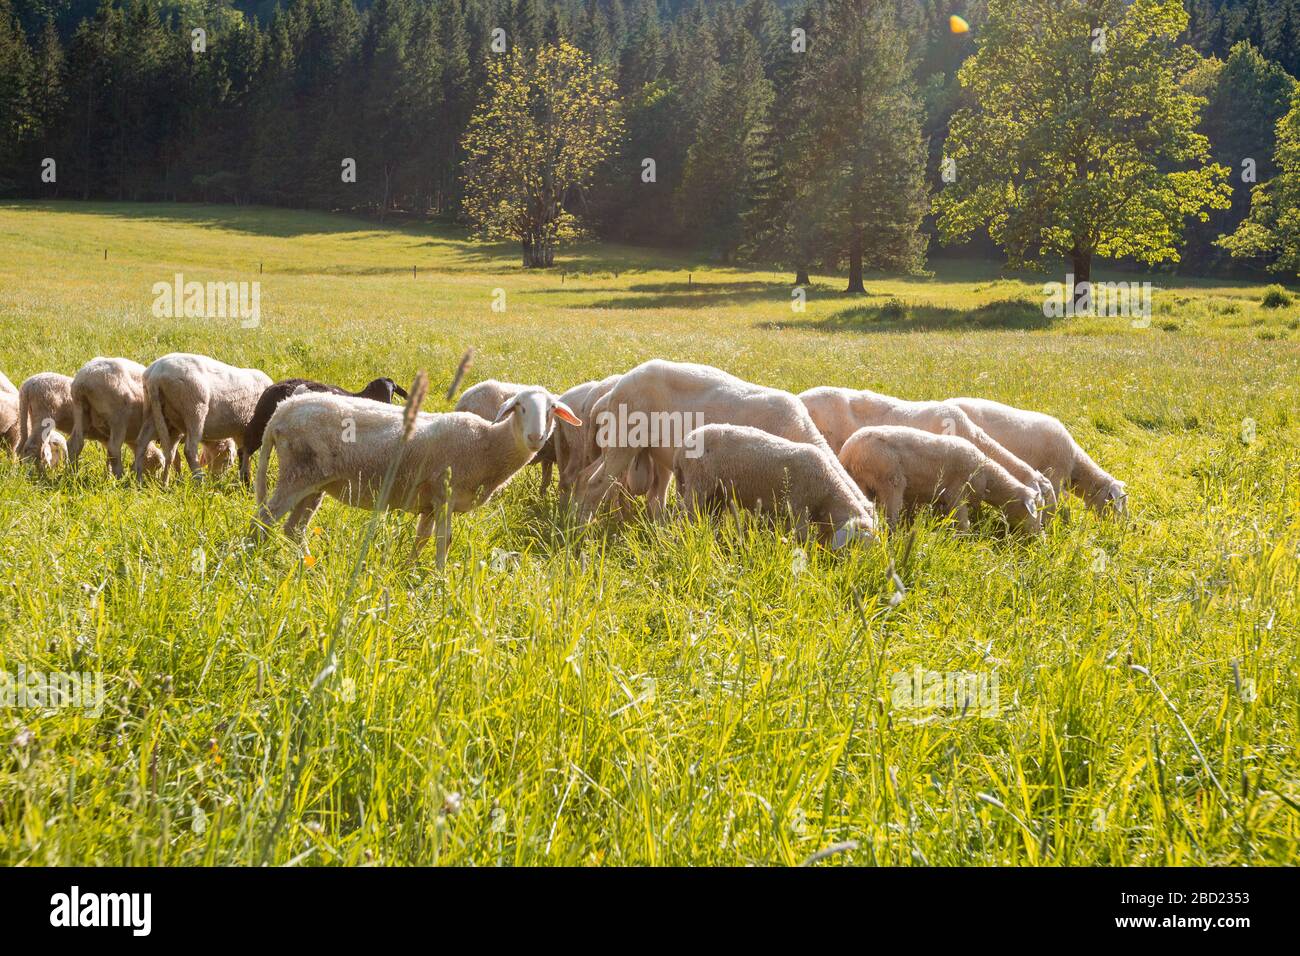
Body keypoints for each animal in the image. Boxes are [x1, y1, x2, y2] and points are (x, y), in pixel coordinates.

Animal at [134, 353, 272, 484]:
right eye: (227, 460)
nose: (217, 478)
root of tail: (156, 375)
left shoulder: (242, 432)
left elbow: (244, 453)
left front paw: (246, 478)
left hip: (153, 411)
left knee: (142, 444)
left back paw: (141, 481)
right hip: (194, 409)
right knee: (189, 450)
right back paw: (199, 480)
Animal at [252, 386, 582, 568]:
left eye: (552, 409)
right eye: (520, 407)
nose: (536, 437)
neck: (487, 444)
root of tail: (281, 412)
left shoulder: (430, 502)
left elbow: (421, 538)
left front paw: (410, 569)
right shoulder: (445, 494)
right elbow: (444, 541)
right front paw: (441, 580)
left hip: (314, 483)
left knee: (294, 528)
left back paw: (309, 565)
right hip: (296, 474)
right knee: (265, 518)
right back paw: (254, 559)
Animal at [579, 359, 874, 522]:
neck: (798, 430)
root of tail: (612, 393)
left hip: (641, 450)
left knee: (643, 495)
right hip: (623, 441)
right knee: (595, 486)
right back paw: (583, 529)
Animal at [673, 424, 876, 547]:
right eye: (855, 544)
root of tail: (681, 448)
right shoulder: (798, 510)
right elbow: (802, 539)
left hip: (715, 494)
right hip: (698, 483)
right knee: (687, 517)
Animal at [838, 425, 1042, 535]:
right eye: (1034, 511)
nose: (1040, 536)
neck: (987, 476)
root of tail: (848, 452)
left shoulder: (941, 499)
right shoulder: (957, 493)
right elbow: (963, 525)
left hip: (861, 483)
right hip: (889, 481)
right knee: (890, 518)